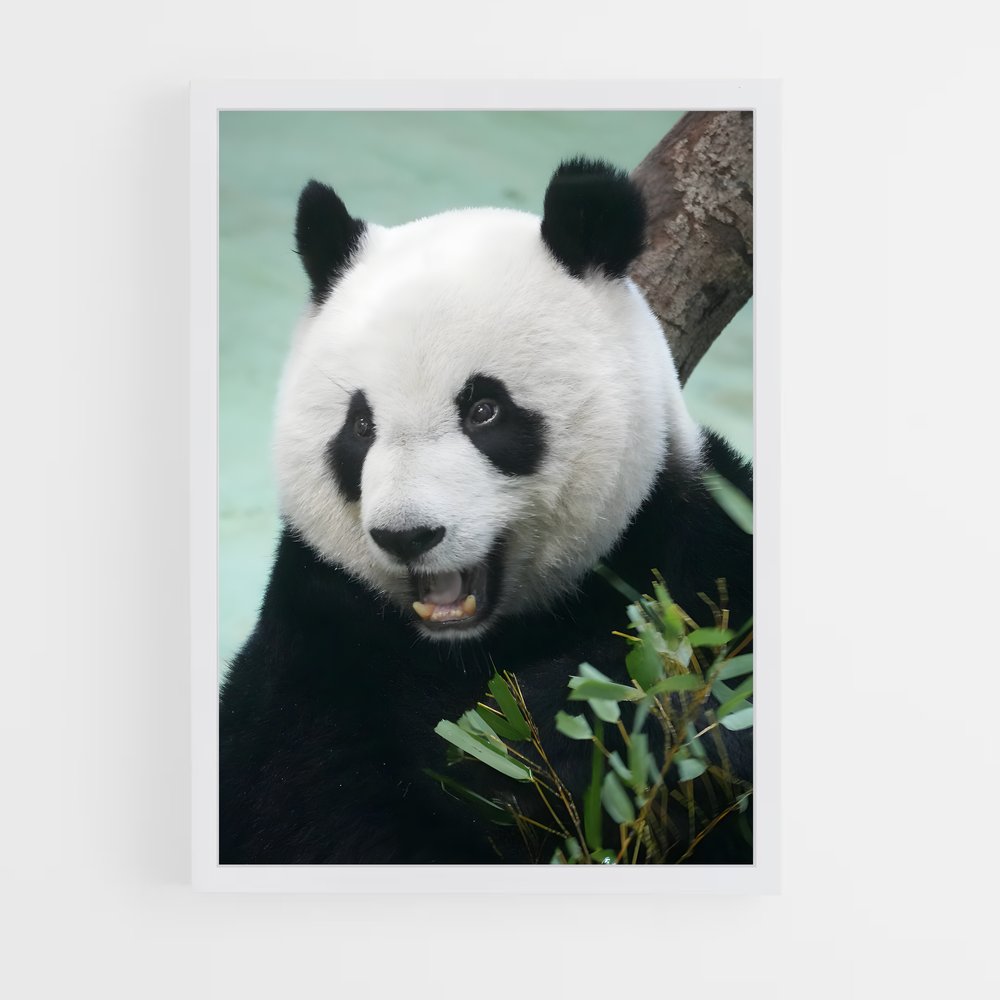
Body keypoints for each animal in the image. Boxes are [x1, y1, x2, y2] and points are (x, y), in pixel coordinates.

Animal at [219, 158, 753, 865]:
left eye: (484, 410)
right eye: (359, 425)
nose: (408, 535)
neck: (471, 644)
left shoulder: (691, 547)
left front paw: (533, 732)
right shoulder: (319, 634)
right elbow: (308, 800)